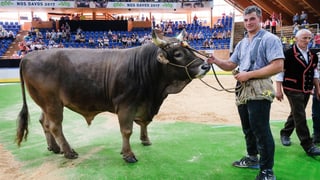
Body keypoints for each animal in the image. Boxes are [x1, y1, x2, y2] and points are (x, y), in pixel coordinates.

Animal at [15, 29, 210, 162]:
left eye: (190, 50)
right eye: (178, 54)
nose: (206, 65)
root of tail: (29, 56)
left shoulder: (143, 104)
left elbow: (144, 123)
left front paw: (145, 140)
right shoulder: (126, 105)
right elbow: (126, 130)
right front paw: (128, 154)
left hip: (46, 103)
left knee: (45, 122)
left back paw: (55, 147)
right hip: (52, 102)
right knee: (55, 126)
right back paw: (69, 152)